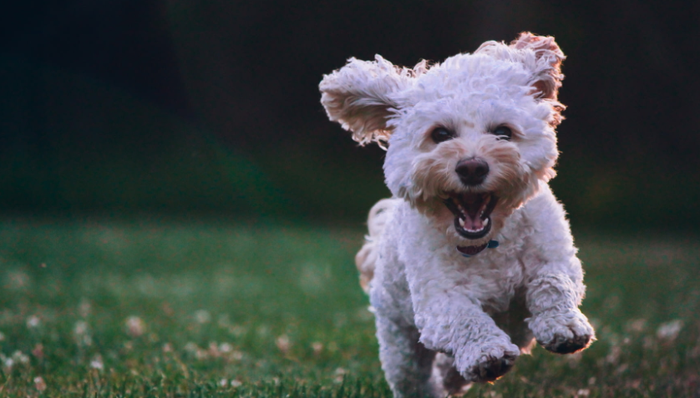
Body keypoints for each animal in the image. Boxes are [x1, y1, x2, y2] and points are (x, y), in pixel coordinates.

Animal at [320, 32, 592, 396]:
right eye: (440, 134)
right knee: (413, 376)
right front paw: (487, 352)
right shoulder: (438, 300)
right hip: (399, 339)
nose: (472, 167)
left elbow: (554, 283)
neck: (488, 243)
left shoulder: (555, 256)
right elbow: (464, 318)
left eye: (503, 132)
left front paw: (564, 326)